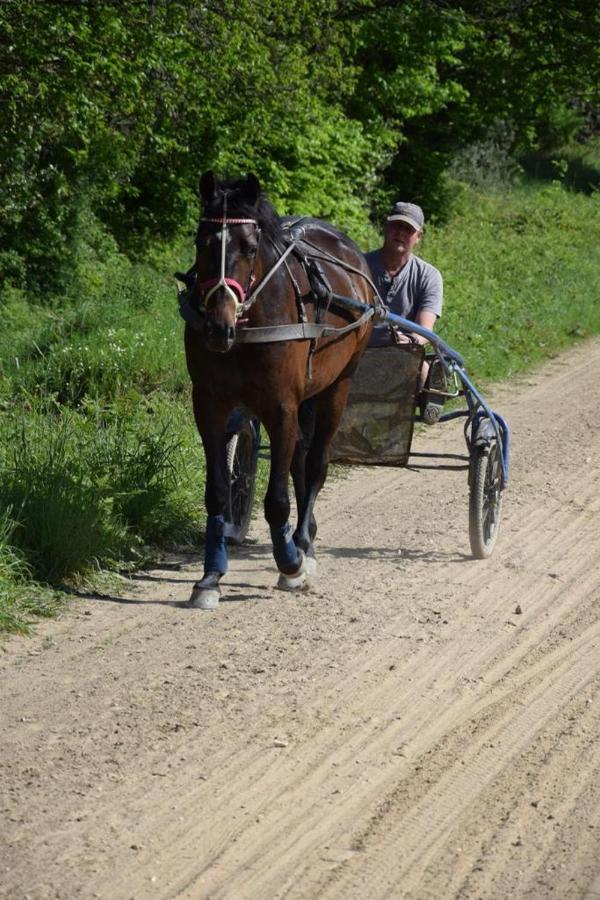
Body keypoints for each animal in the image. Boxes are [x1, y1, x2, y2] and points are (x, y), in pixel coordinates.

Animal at [180, 172, 378, 608]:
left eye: (250, 248)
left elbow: (275, 500)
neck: (247, 326)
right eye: (201, 241)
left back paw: (302, 542)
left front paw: (291, 564)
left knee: (316, 462)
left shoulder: (281, 406)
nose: (218, 327)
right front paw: (210, 576)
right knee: (300, 458)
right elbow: (217, 492)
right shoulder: (208, 406)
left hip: (340, 382)